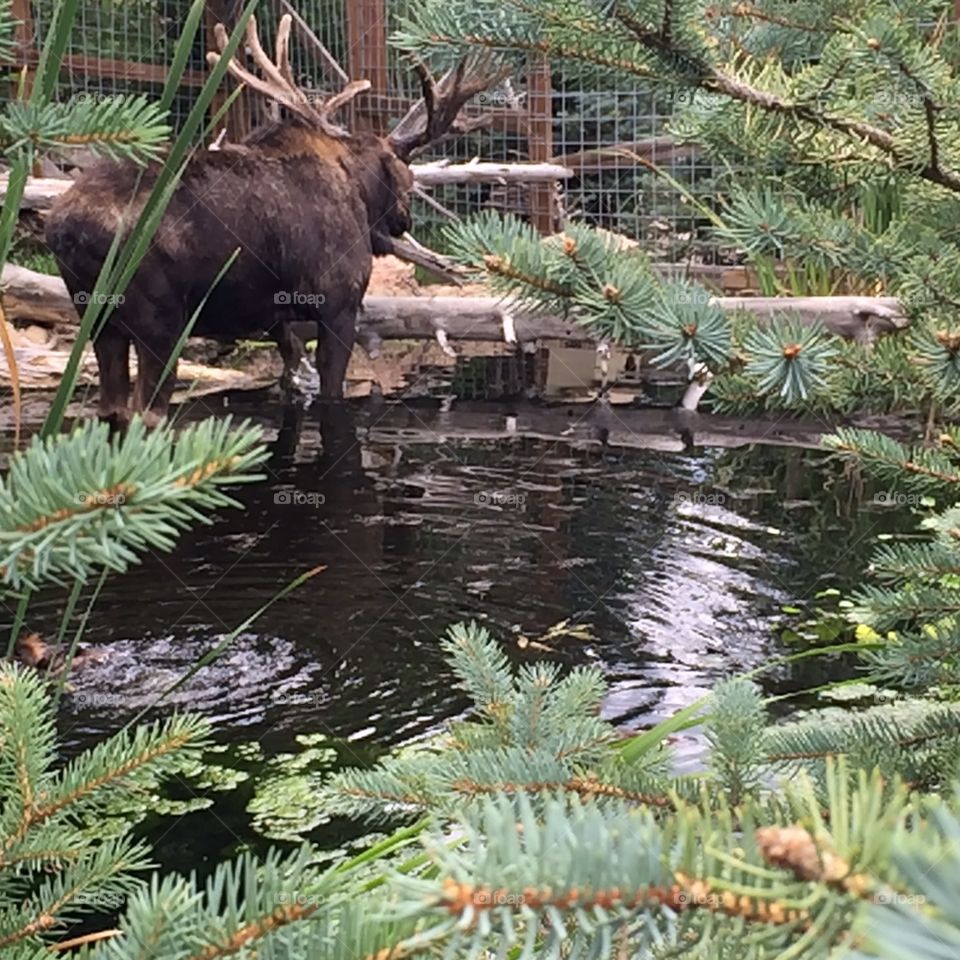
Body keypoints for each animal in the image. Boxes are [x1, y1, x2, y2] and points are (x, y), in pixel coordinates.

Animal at [44, 14, 506, 428]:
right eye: (404, 177)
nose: (402, 220)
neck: (356, 185)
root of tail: (66, 228)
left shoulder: (274, 315)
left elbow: (291, 375)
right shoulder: (338, 303)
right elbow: (331, 392)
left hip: (97, 319)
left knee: (110, 408)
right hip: (159, 323)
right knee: (147, 412)